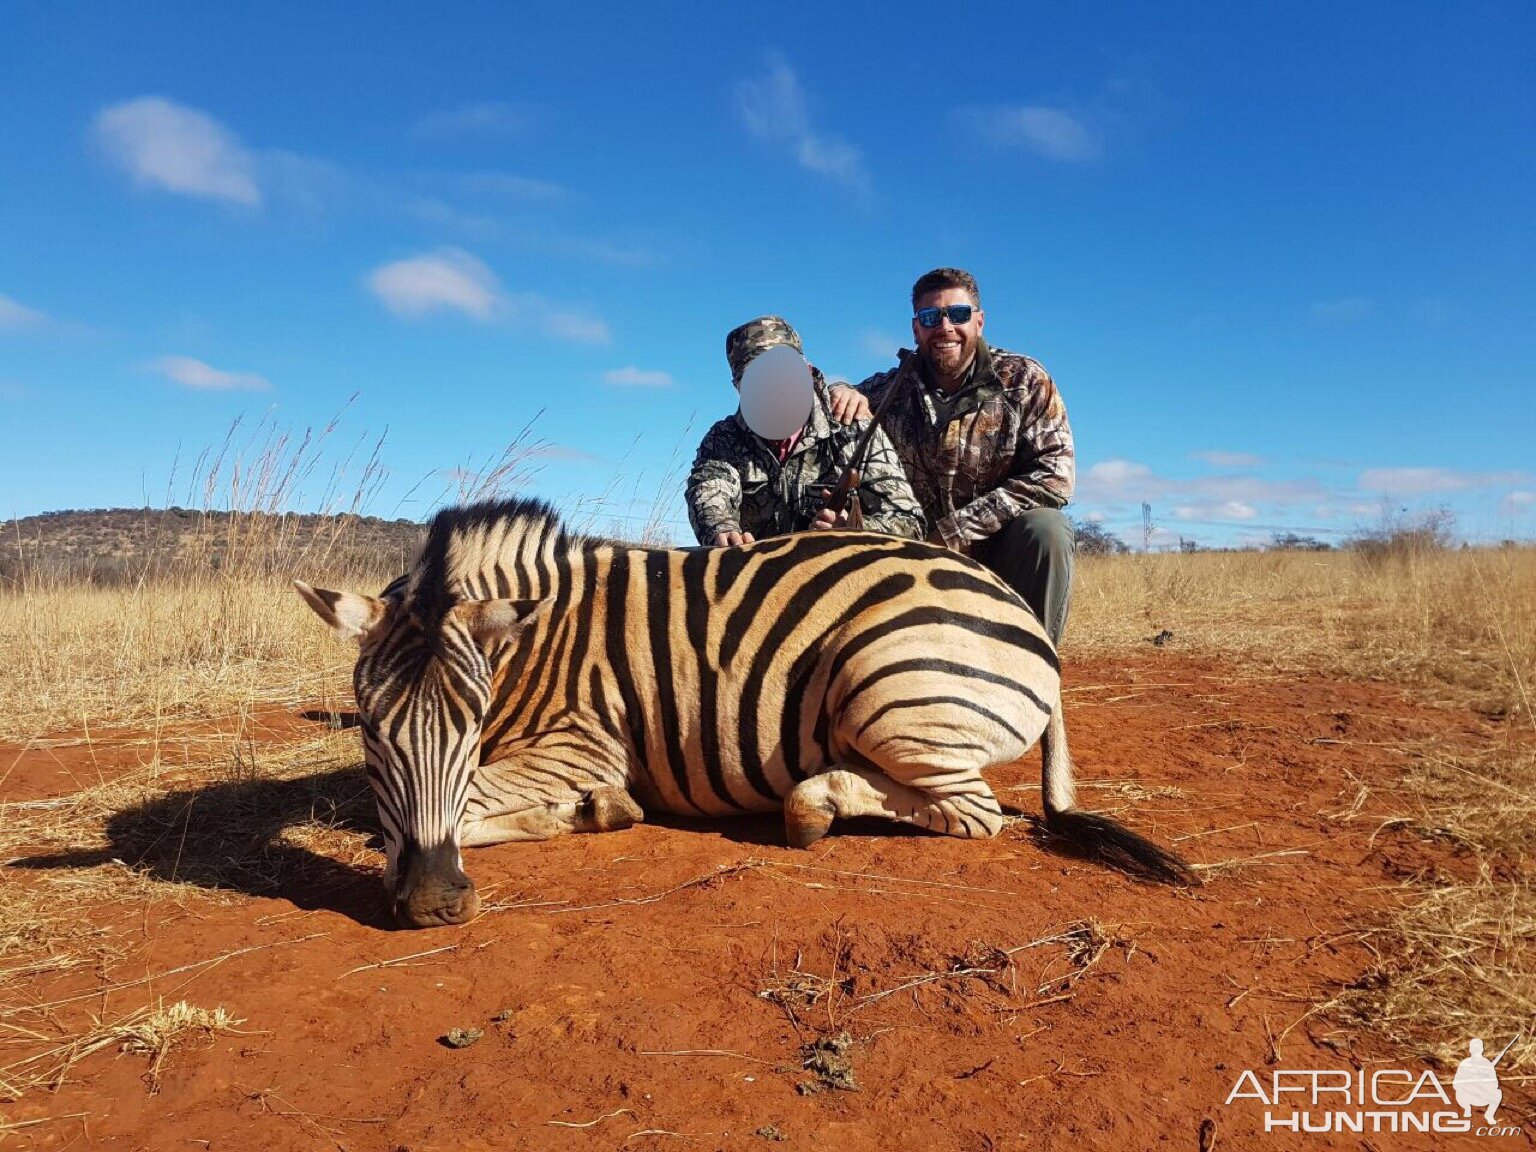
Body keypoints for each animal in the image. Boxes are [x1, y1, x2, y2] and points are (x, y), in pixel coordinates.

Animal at [293, 497, 1191, 927]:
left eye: (471, 721)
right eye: (372, 733)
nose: (434, 904)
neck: (532, 642)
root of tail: (1026, 619)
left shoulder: (586, 743)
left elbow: (463, 801)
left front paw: (593, 809)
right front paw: (593, 812)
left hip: (881, 682)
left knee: (974, 812)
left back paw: (815, 805)